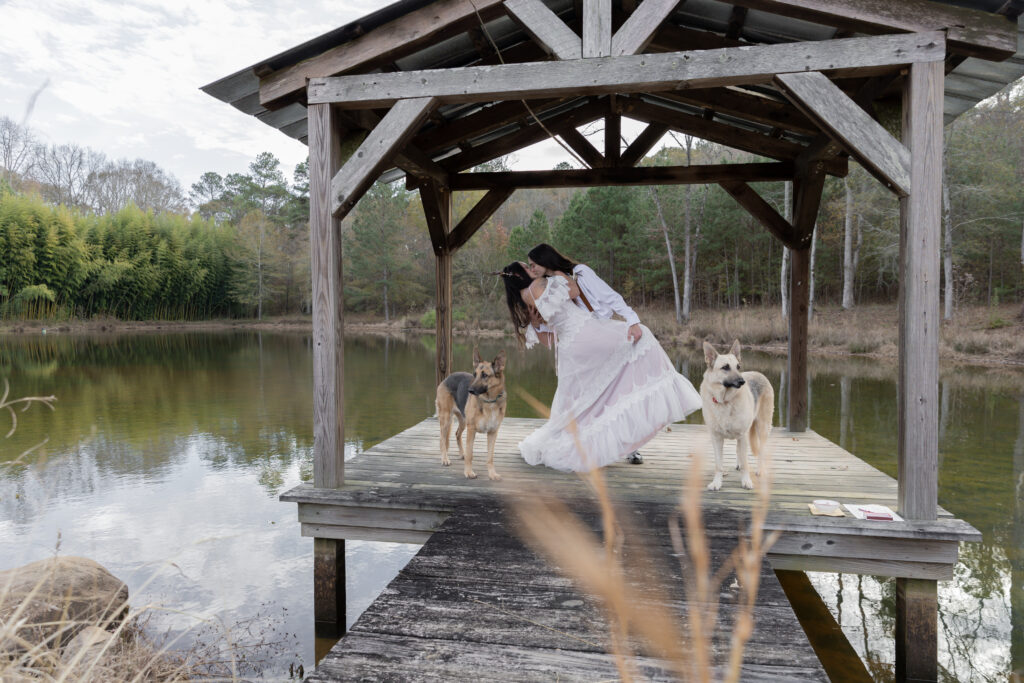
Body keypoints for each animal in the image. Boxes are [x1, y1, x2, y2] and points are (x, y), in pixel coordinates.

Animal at [436, 348, 507, 481]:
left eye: (484, 375)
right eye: (474, 374)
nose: (469, 390)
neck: (489, 401)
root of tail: (447, 378)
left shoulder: (493, 433)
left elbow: (490, 457)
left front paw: (492, 474)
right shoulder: (472, 430)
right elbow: (470, 454)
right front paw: (469, 472)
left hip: (463, 421)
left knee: (457, 434)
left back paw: (461, 454)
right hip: (446, 419)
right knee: (442, 439)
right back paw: (445, 459)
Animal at [704, 339, 774, 491]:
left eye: (738, 366)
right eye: (725, 367)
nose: (742, 381)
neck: (725, 402)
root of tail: (759, 373)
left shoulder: (743, 436)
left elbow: (746, 465)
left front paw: (746, 481)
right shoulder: (716, 438)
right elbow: (718, 465)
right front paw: (717, 483)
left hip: (762, 428)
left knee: (761, 451)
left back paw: (760, 470)